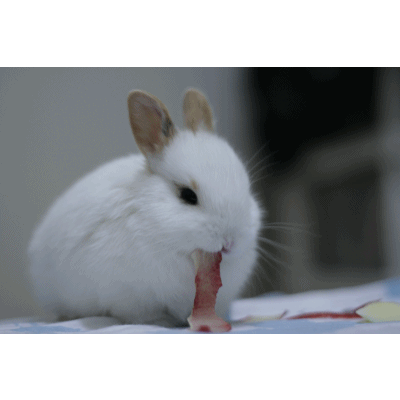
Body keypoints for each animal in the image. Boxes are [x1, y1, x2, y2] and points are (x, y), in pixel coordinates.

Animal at [28, 88, 263, 328]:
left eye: (246, 188)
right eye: (188, 195)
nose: (230, 242)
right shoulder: (129, 295)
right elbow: (143, 316)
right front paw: (162, 322)